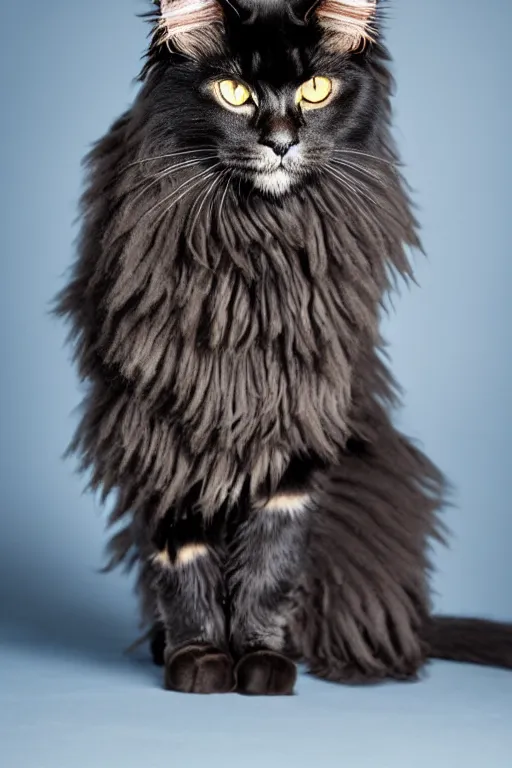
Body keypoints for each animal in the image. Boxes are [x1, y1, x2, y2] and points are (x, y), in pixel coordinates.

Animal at [53, 0, 512, 696]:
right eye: (234, 92)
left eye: (314, 90)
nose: (279, 140)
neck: (255, 251)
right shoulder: (160, 427)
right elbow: (184, 557)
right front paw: (200, 660)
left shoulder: (298, 426)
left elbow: (270, 563)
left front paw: (261, 664)